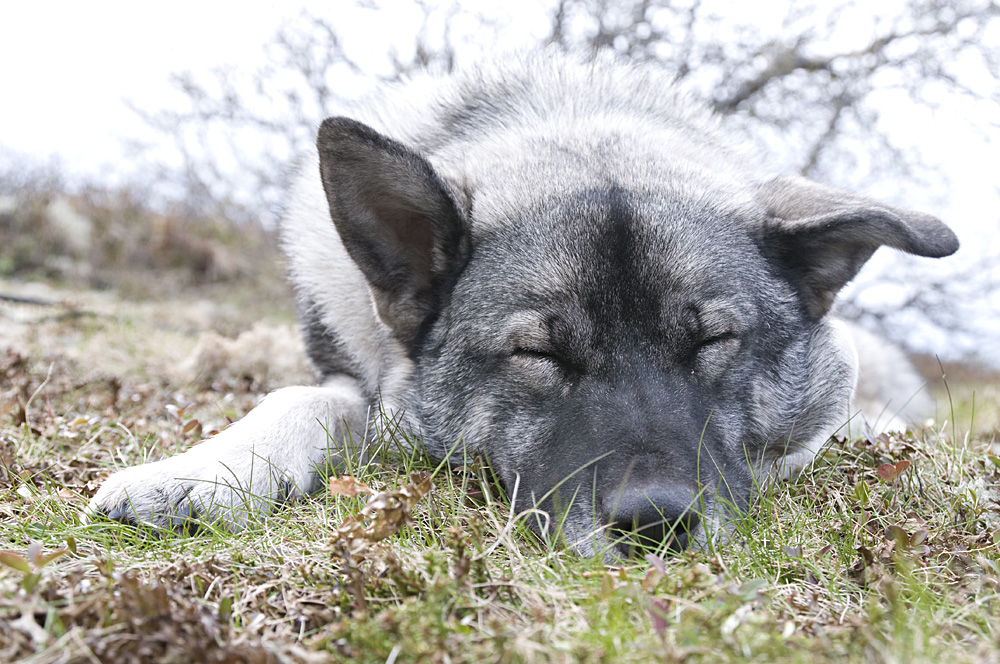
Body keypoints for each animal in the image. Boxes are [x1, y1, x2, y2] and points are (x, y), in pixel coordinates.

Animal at [88, 53, 960, 560]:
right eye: (538, 354)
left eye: (715, 342)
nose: (657, 522)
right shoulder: (355, 374)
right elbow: (299, 398)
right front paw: (203, 468)